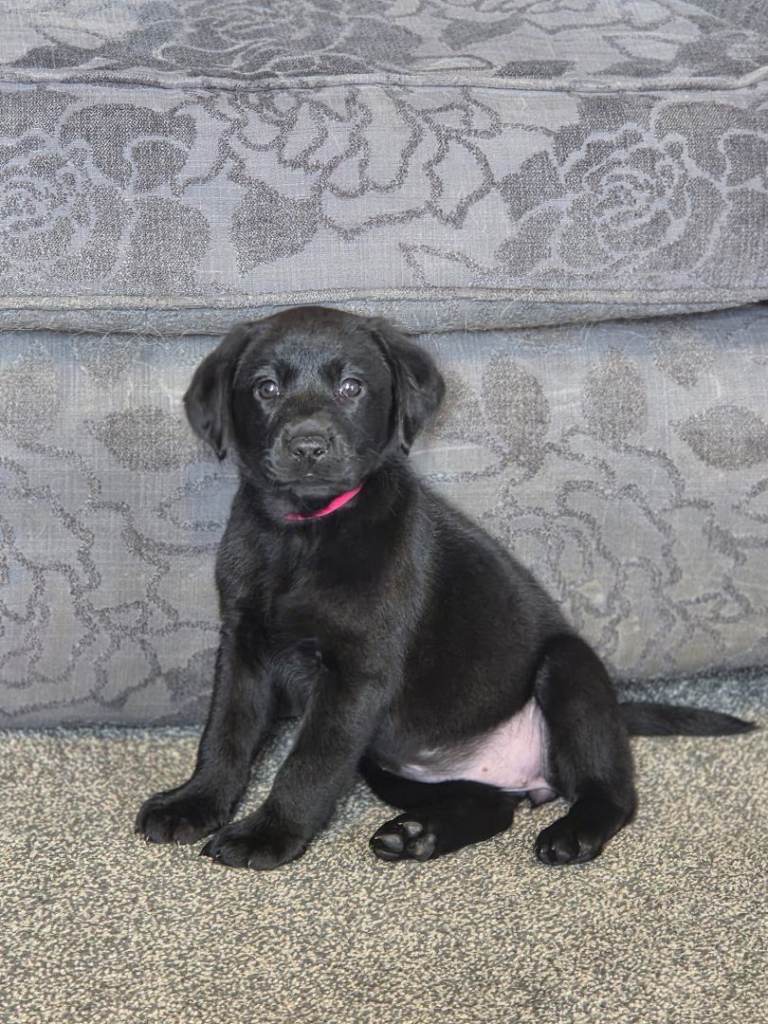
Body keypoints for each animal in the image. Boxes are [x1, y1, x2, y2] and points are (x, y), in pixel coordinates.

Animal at [135, 306, 754, 869]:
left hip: (570, 671)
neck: (303, 534)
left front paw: (269, 835)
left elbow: (309, 763)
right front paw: (193, 804)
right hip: (392, 764)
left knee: (613, 791)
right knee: (492, 807)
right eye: (266, 387)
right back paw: (417, 834)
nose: (308, 446)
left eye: (351, 386)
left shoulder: (357, 675)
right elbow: (226, 735)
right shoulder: (243, 648)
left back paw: (572, 833)